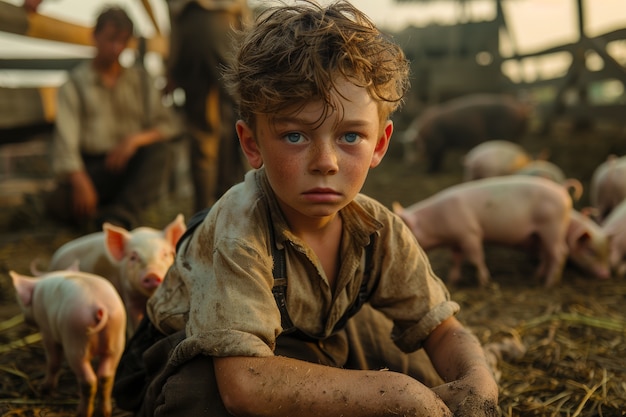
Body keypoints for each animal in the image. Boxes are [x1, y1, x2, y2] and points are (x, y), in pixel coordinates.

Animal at [10, 268, 125, 414]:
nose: (25, 319)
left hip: (76, 339)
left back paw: (81, 413)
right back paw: (104, 412)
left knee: (88, 380)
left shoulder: (47, 330)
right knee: (106, 376)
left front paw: (44, 389)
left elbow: (54, 361)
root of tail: (99, 307)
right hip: (116, 341)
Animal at [392, 175, 572, 286]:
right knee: (549, 254)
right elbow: (456, 258)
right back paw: (538, 276)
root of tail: (562, 191)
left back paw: (548, 284)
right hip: (542, 234)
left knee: (559, 252)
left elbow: (475, 257)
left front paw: (484, 282)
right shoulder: (455, 240)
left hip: (552, 227)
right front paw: (452, 280)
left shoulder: (470, 233)